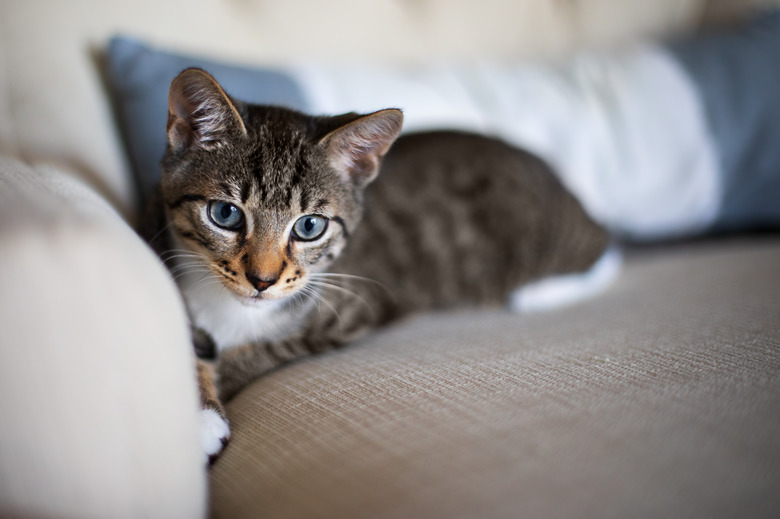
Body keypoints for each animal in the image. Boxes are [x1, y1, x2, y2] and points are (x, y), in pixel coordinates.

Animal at [143, 67, 612, 462]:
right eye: (225, 214)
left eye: (309, 226)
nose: (262, 279)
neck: (235, 310)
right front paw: (199, 408)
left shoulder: (353, 311)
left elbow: (267, 349)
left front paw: (212, 397)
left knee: (604, 248)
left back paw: (537, 293)